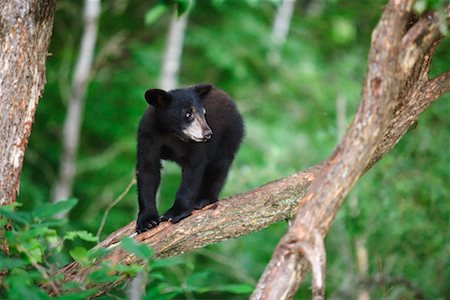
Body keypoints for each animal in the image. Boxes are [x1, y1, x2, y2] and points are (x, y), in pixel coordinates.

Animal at [135, 83, 244, 233]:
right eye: (188, 114)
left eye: (204, 113)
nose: (208, 134)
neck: (171, 134)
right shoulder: (148, 136)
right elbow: (147, 171)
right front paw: (147, 221)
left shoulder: (196, 146)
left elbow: (192, 172)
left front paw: (175, 213)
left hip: (229, 135)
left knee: (219, 166)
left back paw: (203, 199)